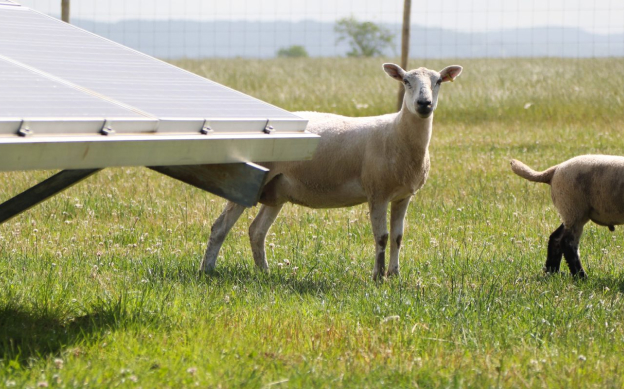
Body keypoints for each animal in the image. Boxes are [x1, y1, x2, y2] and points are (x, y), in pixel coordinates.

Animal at [201, 62, 464, 278]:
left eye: (438, 82)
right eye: (406, 81)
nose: (424, 104)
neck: (397, 133)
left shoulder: (403, 196)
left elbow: (398, 238)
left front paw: (395, 276)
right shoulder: (377, 192)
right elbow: (381, 237)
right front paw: (378, 278)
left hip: (276, 189)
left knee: (256, 231)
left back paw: (264, 272)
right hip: (249, 179)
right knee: (220, 227)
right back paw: (207, 270)